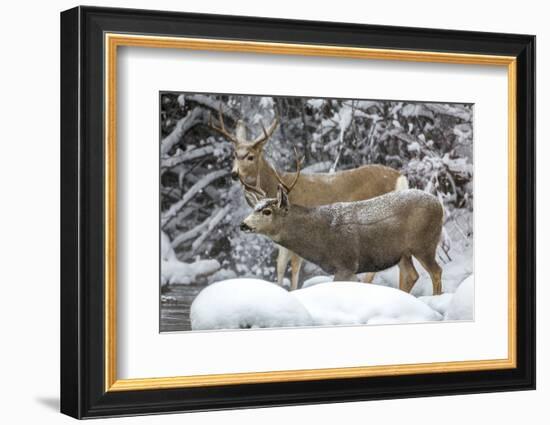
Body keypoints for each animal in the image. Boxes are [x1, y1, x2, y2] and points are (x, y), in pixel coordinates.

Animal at [211, 104, 410, 290]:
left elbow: (294, 268)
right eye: (234, 154)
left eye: (250, 156)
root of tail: (400, 177)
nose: (234, 174)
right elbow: (280, 267)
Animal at [239, 156, 446, 294]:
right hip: (403, 253)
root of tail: (439, 205)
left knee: (436, 271)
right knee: (411, 275)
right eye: (254, 208)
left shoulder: (346, 263)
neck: (319, 238)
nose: (243, 225)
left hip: (424, 244)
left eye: (267, 211)